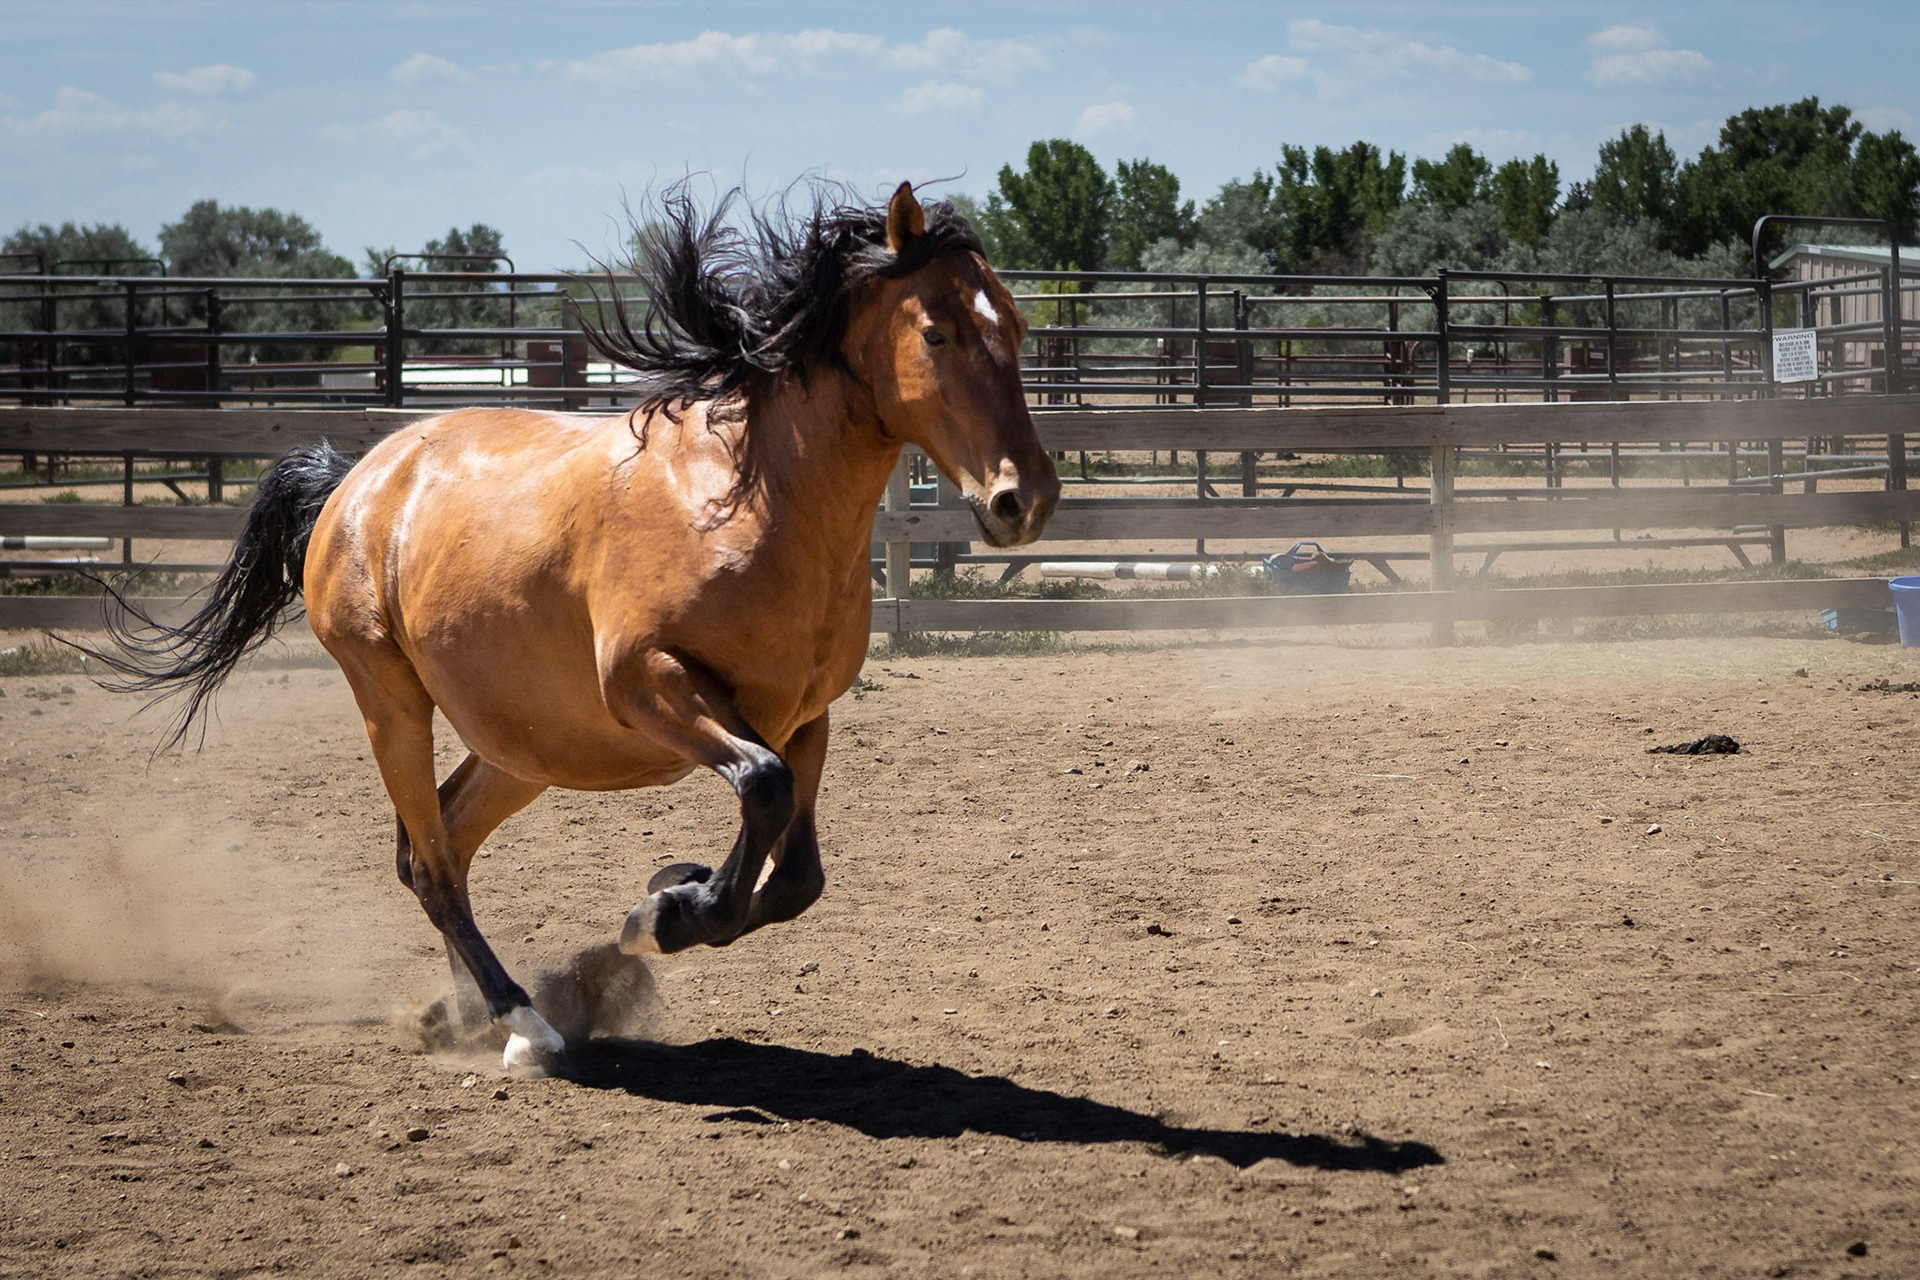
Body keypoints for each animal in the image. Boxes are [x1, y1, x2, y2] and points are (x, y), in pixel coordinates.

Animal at [88, 182, 1060, 1075]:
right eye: (937, 333)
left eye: (1015, 323)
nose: (1026, 498)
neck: (750, 499)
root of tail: (356, 481)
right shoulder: (649, 682)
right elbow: (762, 789)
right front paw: (663, 911)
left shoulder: (803, 712)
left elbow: (795, 871)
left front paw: (677, 892)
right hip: (389, 698)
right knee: (431, 865)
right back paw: (524, 1025)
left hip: (523, 745)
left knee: (441, 843)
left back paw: (470, 1017)